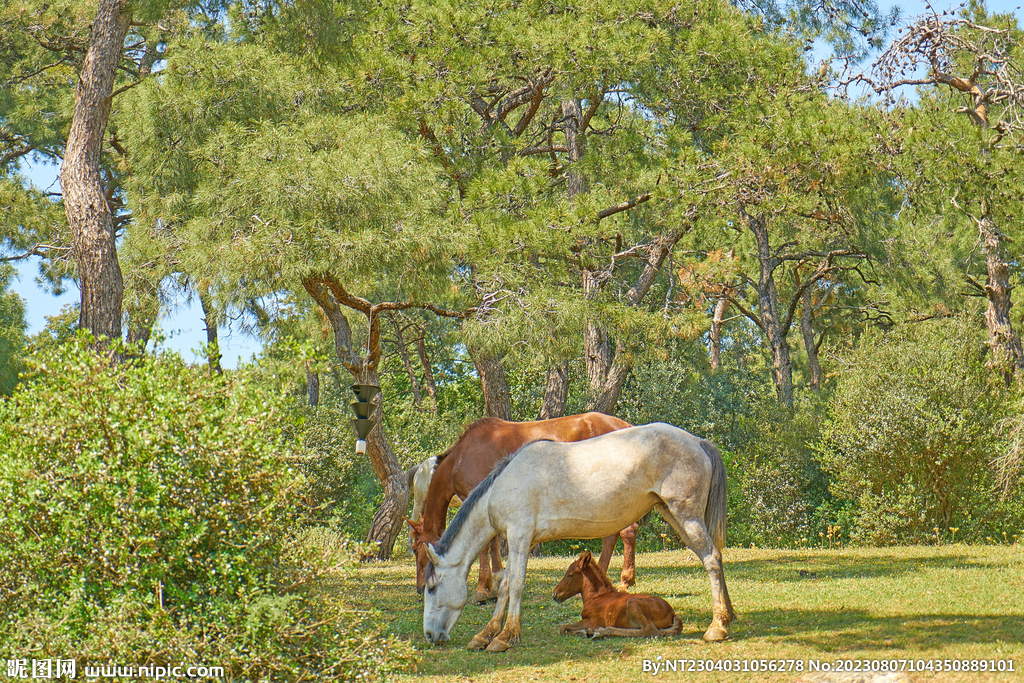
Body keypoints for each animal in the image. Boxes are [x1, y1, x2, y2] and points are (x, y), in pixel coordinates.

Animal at [409, 413, 638, 604]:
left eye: (416, 549)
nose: (420, 588)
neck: (461, 458)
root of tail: (626, 426)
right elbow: (493, 543)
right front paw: (494, 584)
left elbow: (485, 546)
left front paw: (482, 589)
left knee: (625, 531)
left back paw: (623, 581)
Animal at [552, 550, 682, 638]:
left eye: (570, 574)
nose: (555, 594)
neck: (597, 597)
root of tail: (672, 612)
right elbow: (565, 627)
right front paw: (583, 632)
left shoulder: (593, 621)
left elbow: (563, 628)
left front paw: (585, 632)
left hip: (632, 603)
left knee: (649, 631)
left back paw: (601, 632)